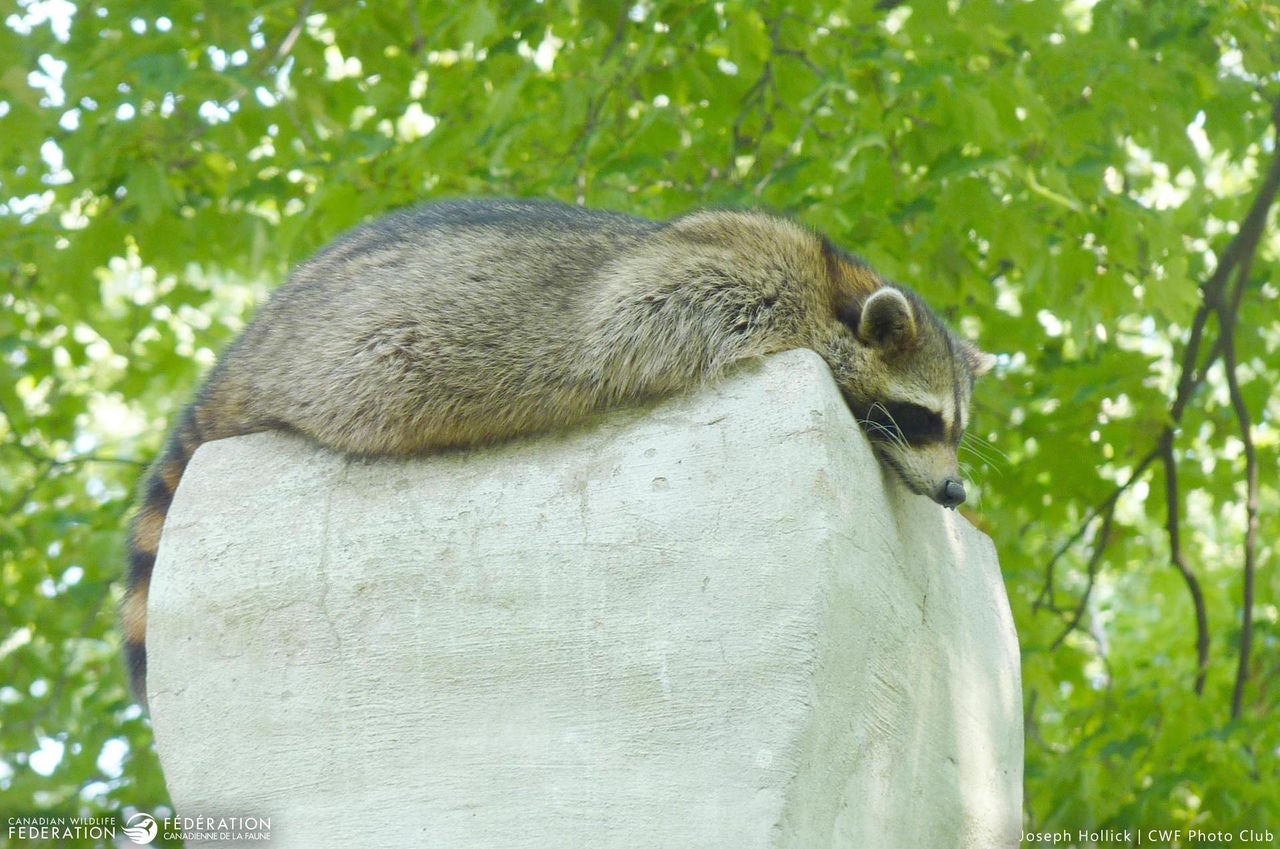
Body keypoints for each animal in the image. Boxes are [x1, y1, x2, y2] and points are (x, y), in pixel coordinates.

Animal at [122, 198, 994, 702]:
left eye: (955, 429)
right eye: (920, 419)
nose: (956, 493)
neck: (832, 282)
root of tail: (249, 348)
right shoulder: (722, 281)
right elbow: (635, 324)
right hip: (353, 362)